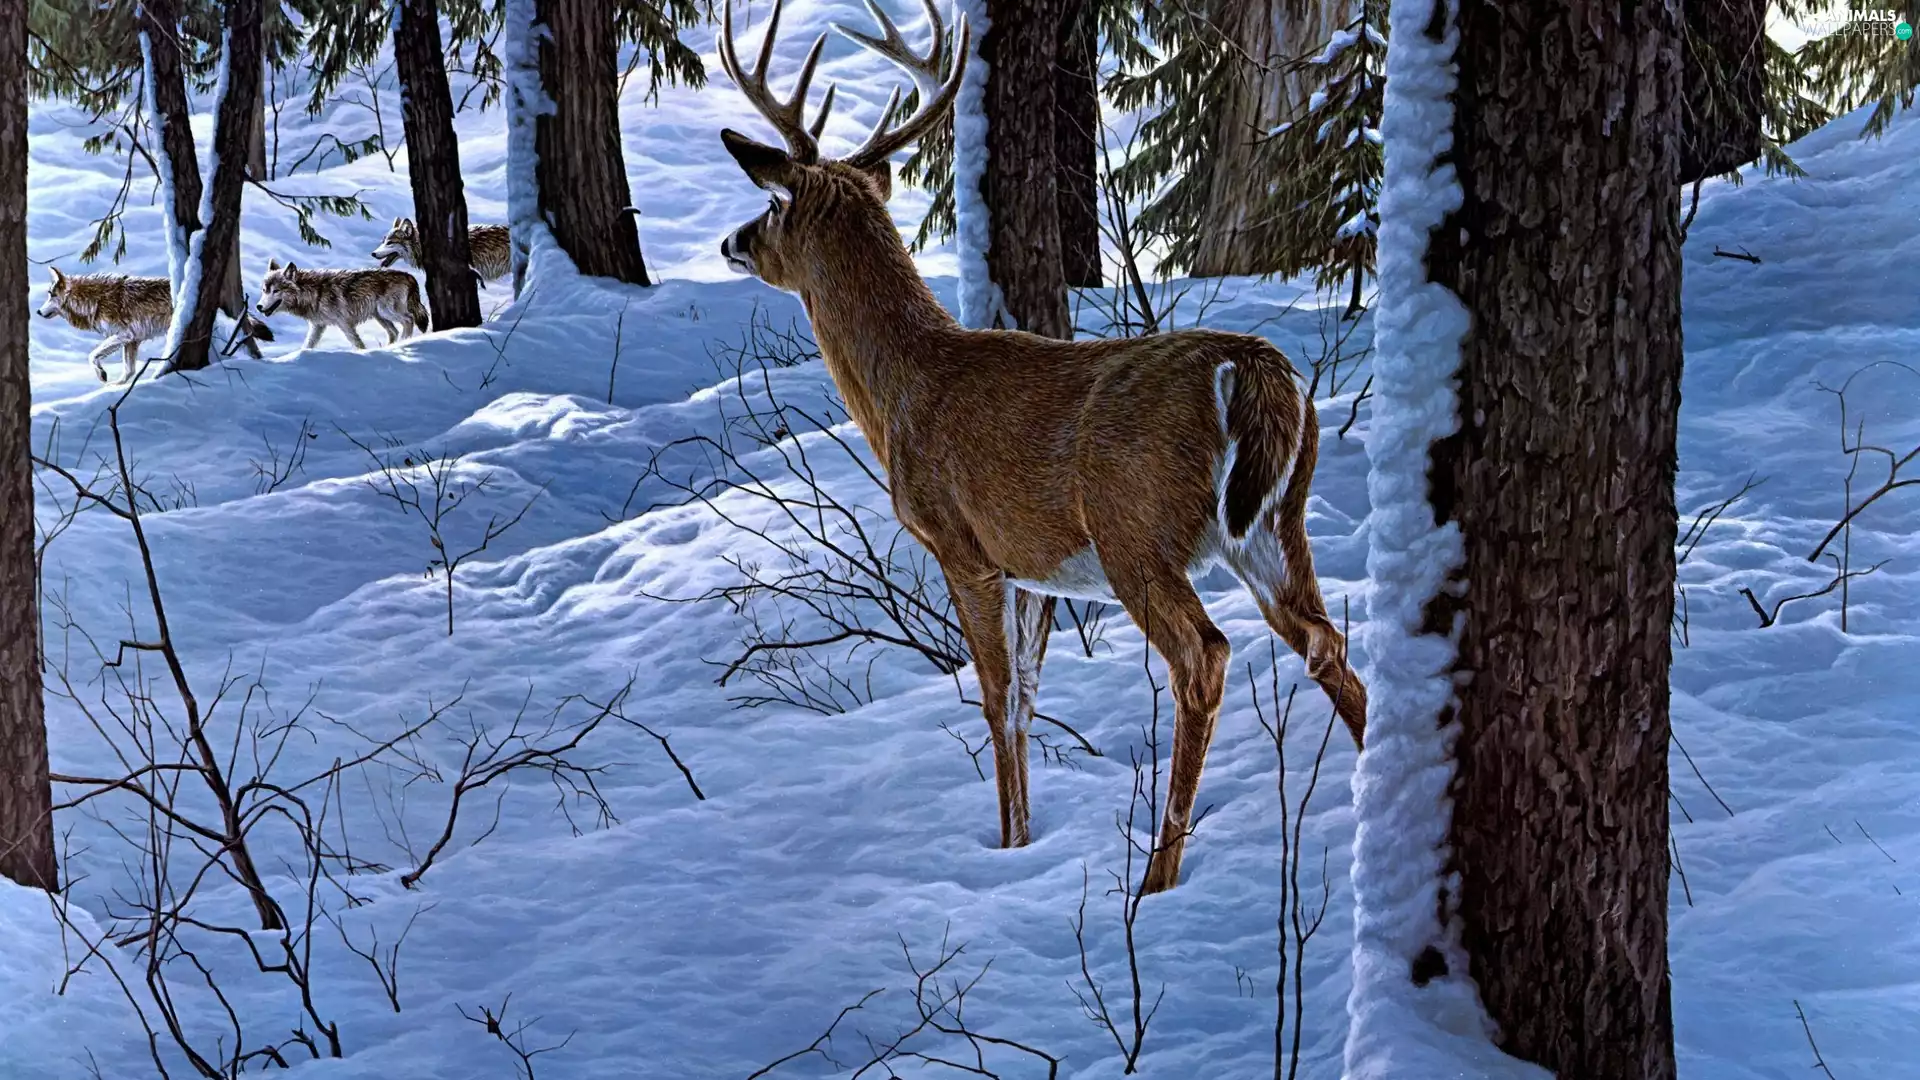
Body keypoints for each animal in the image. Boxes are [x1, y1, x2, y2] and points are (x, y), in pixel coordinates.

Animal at [257, 260, 430, 350]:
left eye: (276, 291)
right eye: (264, 290)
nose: (258, 306)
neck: (314, 292)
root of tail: (408, 275)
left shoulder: (345, 323)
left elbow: (357, 343)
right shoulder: (317, 326)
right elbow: (307, 345)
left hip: (386, 312)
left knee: (408, 319)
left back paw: (404, 342)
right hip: (380, 316)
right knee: (394, 331)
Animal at [713, 0, 1367, 894]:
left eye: (775, 206)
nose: (731, 240)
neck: (906, 389)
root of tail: (1254, 368)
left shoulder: (962, 543)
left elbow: (993, 695)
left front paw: (1006, 843)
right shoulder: (1033, 568)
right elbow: (1025, 696)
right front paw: (1023, 844)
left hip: (1137, 529)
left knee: (1204, 658)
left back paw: (1156, 881)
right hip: (1273, 524)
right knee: (1327, 645)